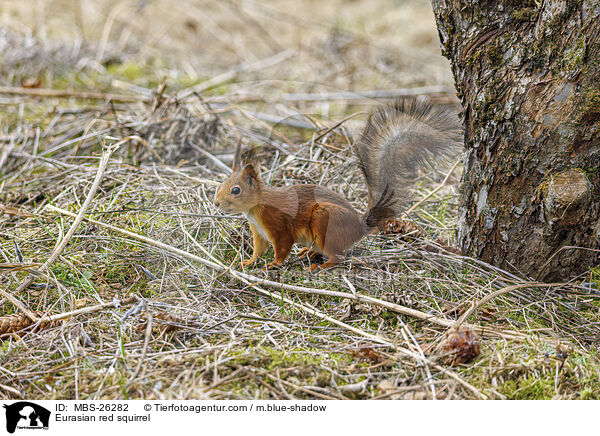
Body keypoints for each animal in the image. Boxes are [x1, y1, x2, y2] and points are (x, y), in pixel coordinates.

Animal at [213, 99, 462, 270]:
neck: (256, 208)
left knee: (338, 256)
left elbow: (282, 248)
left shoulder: (279, 225)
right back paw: (308, 252)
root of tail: (360, 227)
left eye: (236, 190)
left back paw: (321, 266)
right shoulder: (259, 232)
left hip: (324, 219)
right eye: (221, 184)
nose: (215, 204)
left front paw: (274, 264)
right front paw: (248, 262)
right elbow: (258, 250)